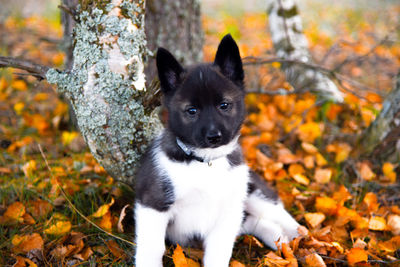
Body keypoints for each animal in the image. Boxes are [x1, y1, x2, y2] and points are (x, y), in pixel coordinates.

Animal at [135, 34, 300, 266]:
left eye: (224, 105)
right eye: (192, 111)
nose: (214, 137)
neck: (206, 161)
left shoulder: (228, 212)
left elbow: (219, 251)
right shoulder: (153, 203)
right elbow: (152, 248)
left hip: (254, 194)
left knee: (282, 216)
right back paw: (278, 238)